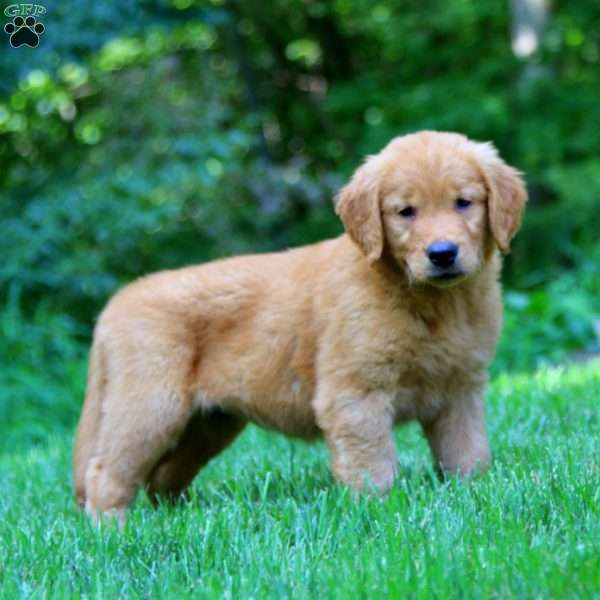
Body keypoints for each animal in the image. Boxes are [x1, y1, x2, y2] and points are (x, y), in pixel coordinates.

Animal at [74, 131, 524, 520]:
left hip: (209, 424)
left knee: (162, 478)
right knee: (106, 471)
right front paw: (378, 514)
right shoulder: (355, 394)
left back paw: (179, 518)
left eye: (463, 202)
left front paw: (474, 497)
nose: (442, 254)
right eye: (405, 212)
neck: (435, 302)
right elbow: (373, 466)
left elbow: (469, 455)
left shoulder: (461, 391)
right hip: (150, 405)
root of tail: (117, 302)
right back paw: (114, 530)